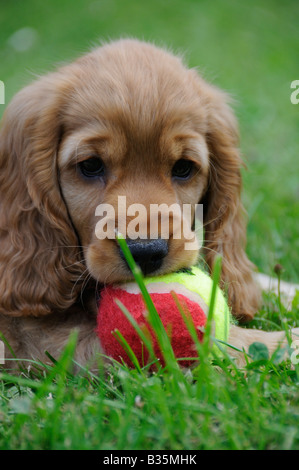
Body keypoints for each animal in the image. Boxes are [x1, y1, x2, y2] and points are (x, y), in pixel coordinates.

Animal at [0, 38, 296, 370]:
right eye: (90, 165)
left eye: (183, 168)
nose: (145, 253)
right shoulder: (43, 342)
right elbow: (216, 341)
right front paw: (283, 343)